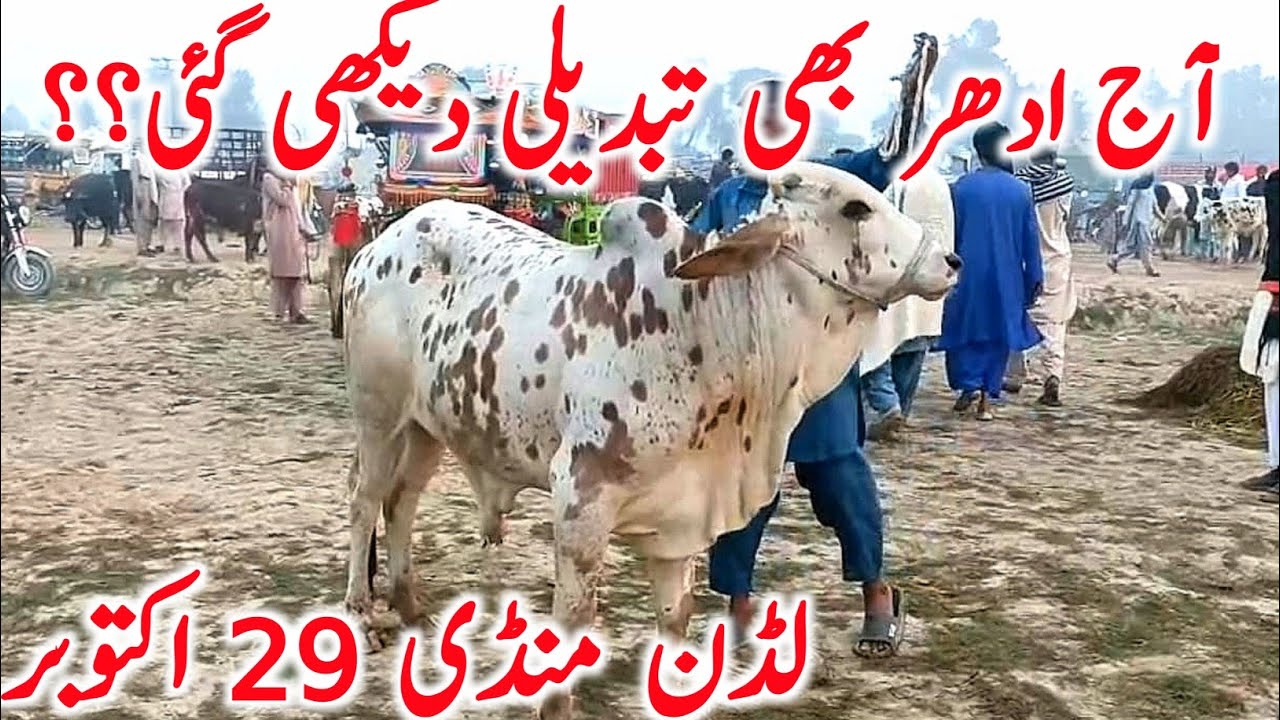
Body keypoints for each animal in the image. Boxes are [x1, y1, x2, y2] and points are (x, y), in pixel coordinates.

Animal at [340, 161, 960, 719]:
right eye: (856, 208)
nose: (951, 260)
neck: (701, 326)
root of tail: (381, 243)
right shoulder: (581, 500)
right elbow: (573, 620)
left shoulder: (683, 517)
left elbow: (676, 618)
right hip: (377, 416)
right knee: (365, 500)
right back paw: (363, 614)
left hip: (427, 426)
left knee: (401, 503)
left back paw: (412, 609)